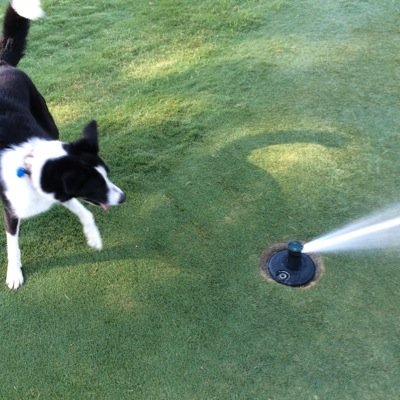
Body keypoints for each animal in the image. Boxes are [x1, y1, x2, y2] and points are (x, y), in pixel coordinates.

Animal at [0, 0, 125, 288]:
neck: (30, 167)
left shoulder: (59, 191)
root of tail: (2, 63)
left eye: (108, 176)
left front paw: (94, 237)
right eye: (96, 184)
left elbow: (85, 212)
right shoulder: (12, 209)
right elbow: (13, 244)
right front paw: (14, 273)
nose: (123, 197)